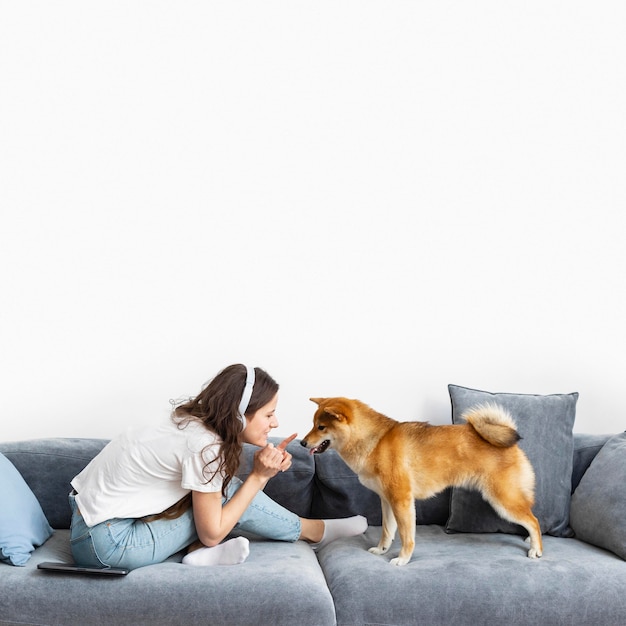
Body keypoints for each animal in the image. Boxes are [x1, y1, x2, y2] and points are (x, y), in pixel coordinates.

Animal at [300, 394, 540, 564]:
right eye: (312, 424)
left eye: (321, 427)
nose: (302, 443)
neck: (376, 442)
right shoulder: (387, 501)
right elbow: (387, 531)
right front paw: (382, 550)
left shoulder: (402, 501)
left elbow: (406, 536)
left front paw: (402, 559)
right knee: (530, 518)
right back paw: (530, 542)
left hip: (503, 500)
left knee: (534, 521)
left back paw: (536, 549)